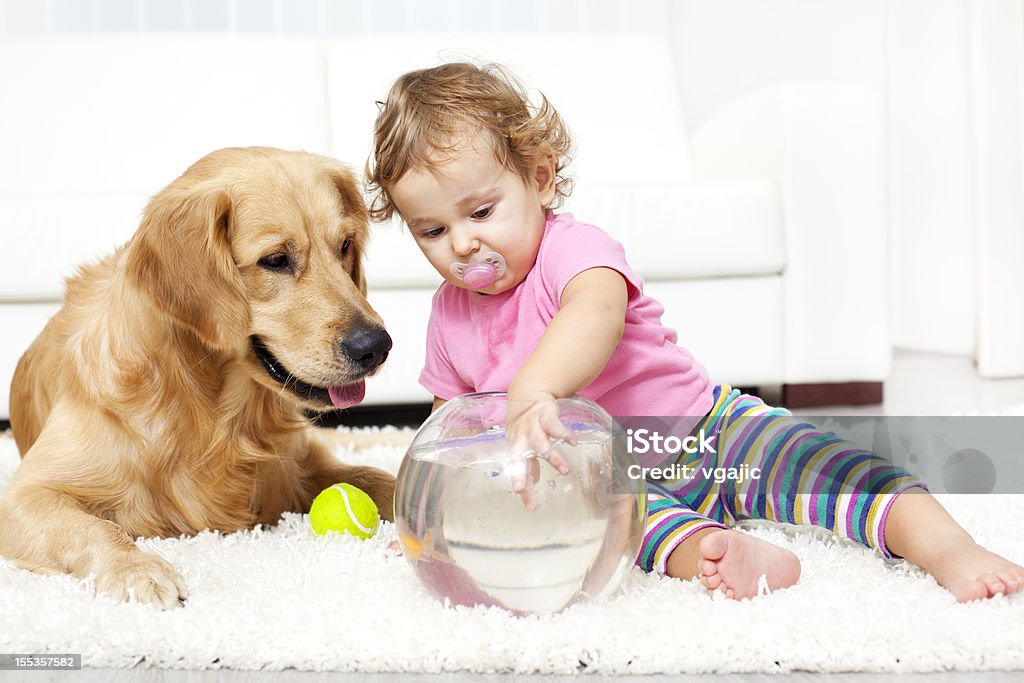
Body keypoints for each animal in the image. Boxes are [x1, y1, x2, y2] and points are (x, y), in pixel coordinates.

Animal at [0, 147, 395, 606]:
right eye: (276, 260)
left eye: (345, 245)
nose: (376, 346)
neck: (208, 409)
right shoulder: (25, 495)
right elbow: (95, 527)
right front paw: (136, 569)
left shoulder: (298, 467)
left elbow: (378, 477)